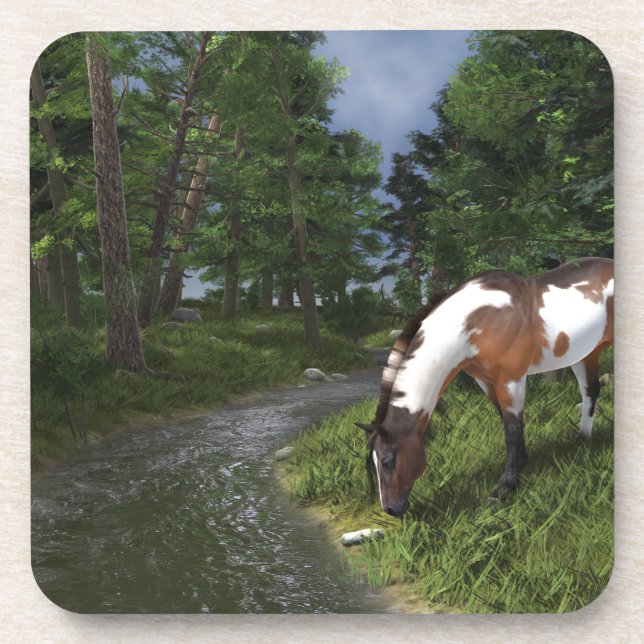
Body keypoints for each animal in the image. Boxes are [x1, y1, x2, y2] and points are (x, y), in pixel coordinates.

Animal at [356, 257, 614, 517]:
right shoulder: (486, 382)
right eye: (373, 462)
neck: (478, 321)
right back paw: (582, 441)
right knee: (590, 391)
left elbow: (511, 430)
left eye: (388, 461)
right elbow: (506, 421)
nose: (391, 509)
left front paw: (505, 488)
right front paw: (521, 464)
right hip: (586, 354)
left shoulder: (510, 380)